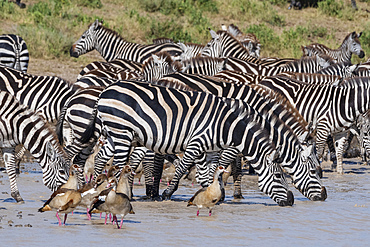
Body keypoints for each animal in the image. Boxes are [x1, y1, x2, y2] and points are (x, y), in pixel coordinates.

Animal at [81, 78, 294, 205]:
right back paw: (119, 194)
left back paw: (96, 189)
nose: (291, 201)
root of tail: (106, 90)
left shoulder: (211, 150)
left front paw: (210, 194)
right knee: (117, 165)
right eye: (278, 177)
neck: (225, 126)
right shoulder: (196, 142)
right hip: (121, 131)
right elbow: (183, 167)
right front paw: (167, 194)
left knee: (100, 158)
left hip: (112, 133)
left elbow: (210, 173)